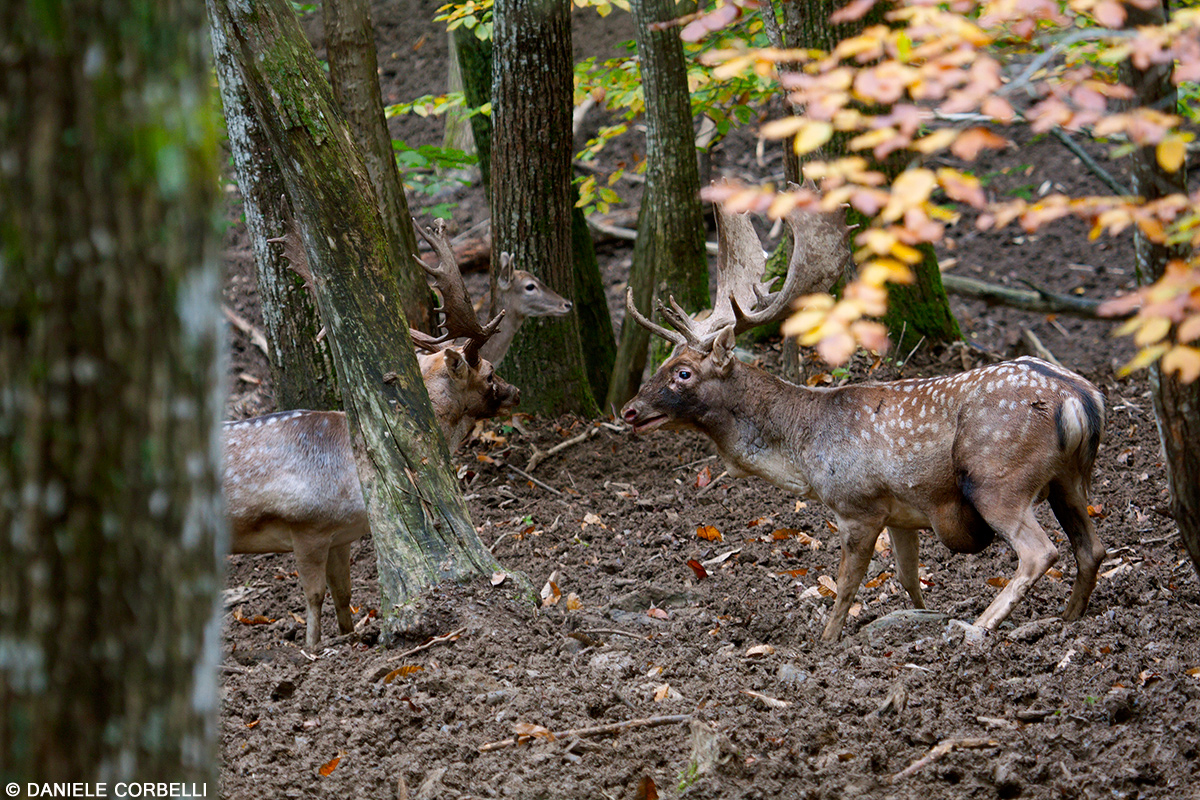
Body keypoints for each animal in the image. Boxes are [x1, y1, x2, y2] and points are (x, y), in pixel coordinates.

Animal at [619, 201, 1104, 642]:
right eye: (664, 362)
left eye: (683, 372)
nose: (628, 411)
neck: (801, 454)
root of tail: (1080, 398)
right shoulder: (901, 513)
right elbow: (908, 577)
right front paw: (922, 617)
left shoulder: (858, 504)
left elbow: (846, 585)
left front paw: (827, 642)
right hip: (1068, 479)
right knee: (1092, 548)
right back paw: (1068, 621)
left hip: (997, 477)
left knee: (1040, 551)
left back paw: (980, 626)